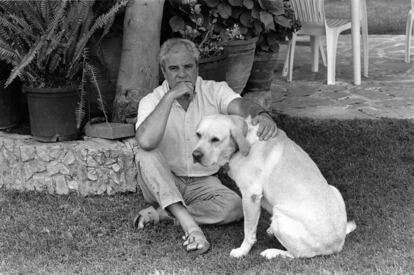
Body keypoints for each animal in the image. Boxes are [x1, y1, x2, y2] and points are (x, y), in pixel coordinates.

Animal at [192, 113, 356, 258]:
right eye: (198, 135)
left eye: (215, 139)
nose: (195, 155)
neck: (245, 140)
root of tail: (337, 245)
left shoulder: (250, 195)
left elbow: (248, 231)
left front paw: (242, 251)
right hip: (335, 189)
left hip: (280, 216)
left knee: (297, 254)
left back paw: (272, 252)